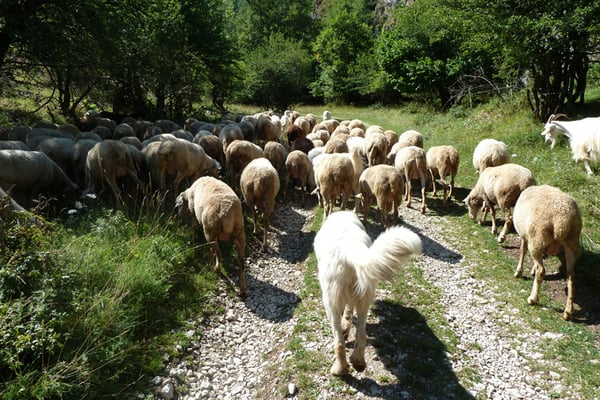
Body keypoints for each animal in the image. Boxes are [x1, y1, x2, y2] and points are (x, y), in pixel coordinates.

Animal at [313, 211, 422, 376]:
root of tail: (348, 250)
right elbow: (349, 312)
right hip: (365, 298)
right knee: (361, 334)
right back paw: (358, 361)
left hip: (330, 302)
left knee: (339, 341)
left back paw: (339, 369)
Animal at [512, 185, 582, 320]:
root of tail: (561, 220)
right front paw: (531, 269)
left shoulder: (525, 236)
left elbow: (522, 250)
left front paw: (519, 272)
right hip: (572, 243)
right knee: (571, 276)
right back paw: (568, 312)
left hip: (537, 238)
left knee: (541, 271)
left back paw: (532, 299)